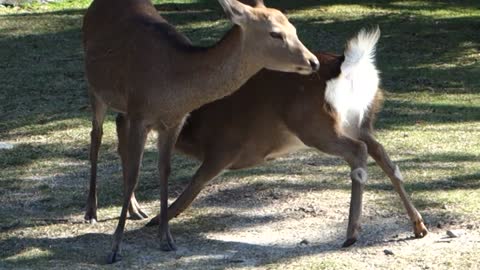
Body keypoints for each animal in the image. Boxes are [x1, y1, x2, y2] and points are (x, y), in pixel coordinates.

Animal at [82, 0, 318, 264]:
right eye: (275, 33)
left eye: (293, 28)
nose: (314, 62)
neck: (173, 87)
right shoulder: (140, 113)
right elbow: (135, 172)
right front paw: (114, 248)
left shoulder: (174, 121)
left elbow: (164, 170)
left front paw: (166, 239)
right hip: (95, 87)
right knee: (96, 137)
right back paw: (91, 211)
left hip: (123, 107)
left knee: (119, 129)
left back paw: (136, 209)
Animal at [145, 28, 428, 247]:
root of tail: (347, 65)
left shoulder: (224, 148)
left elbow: (196, 182)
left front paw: (158, 219)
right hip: (360, 121)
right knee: (382, 153)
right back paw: (418, 225)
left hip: (315, 124)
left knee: (358, 151)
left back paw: (352, 234)